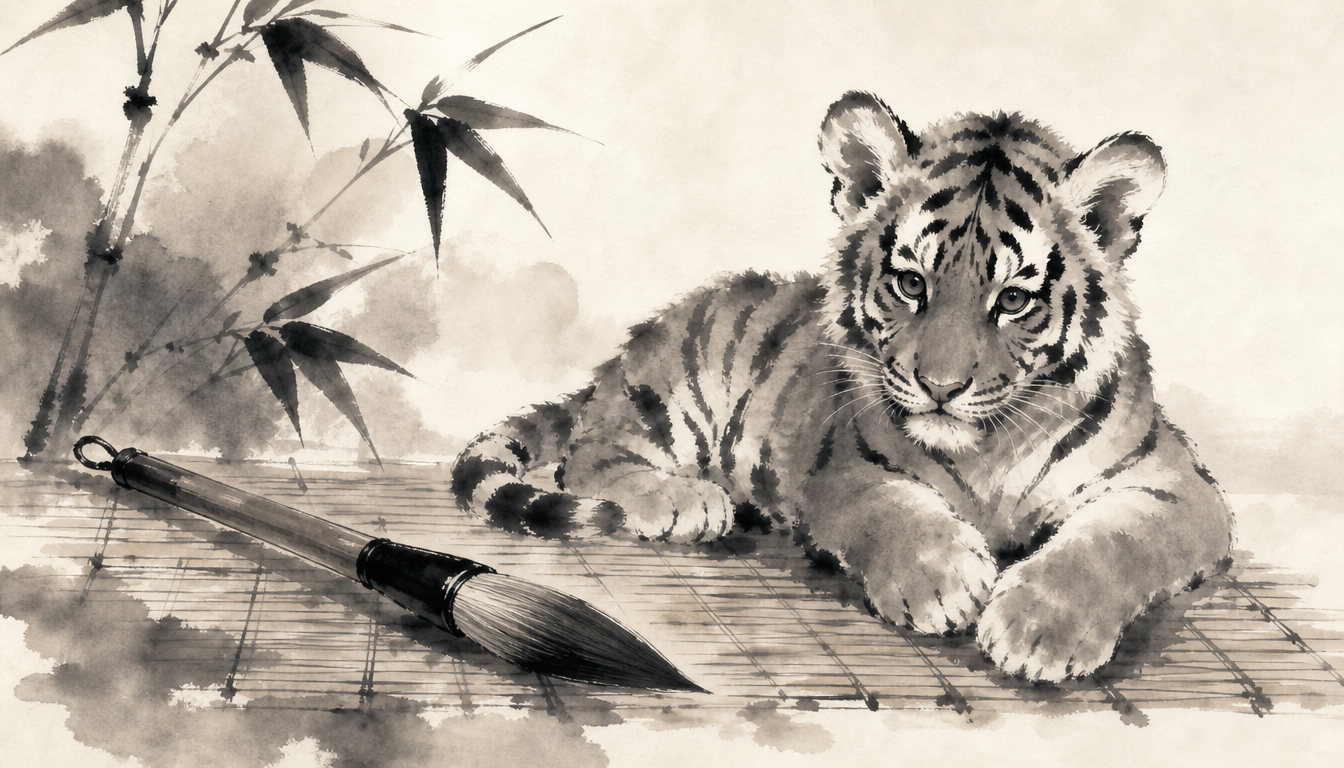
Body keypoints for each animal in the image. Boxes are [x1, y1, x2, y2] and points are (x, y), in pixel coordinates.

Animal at [449, 92, 1234, 683]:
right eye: (911, 284)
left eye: (1013, 300)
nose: (940, 387)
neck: (988, 451)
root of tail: (625, 355)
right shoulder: (848, 464)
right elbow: (893, 513)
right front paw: (944, 581)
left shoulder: (1178, 486)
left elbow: (1117, 543)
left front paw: (1040, 627)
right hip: (676, 385)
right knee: (590, 452)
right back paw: (687, 500)